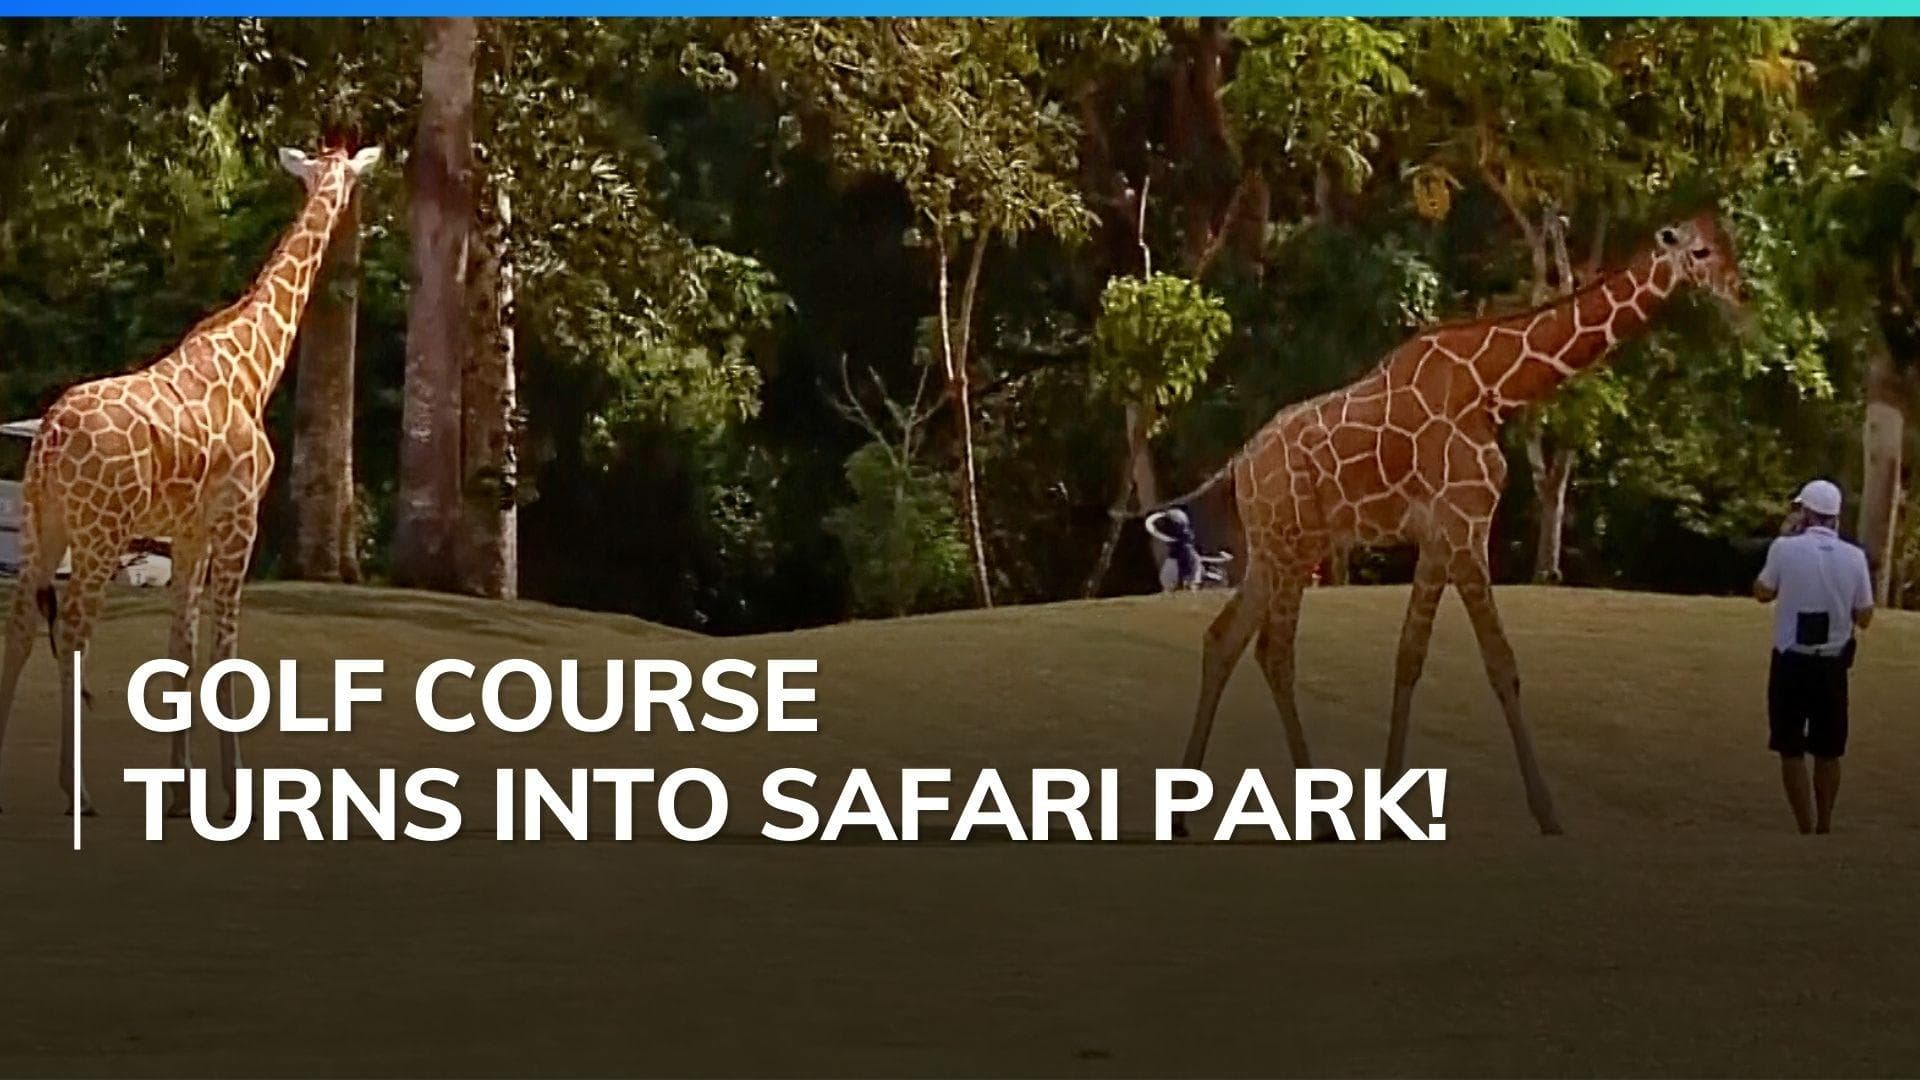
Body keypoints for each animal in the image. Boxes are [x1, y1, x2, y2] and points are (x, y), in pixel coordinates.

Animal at [0, 143, 381, 817]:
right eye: (345, 175)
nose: (355, 206)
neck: (256, 365)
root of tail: (46, 441)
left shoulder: (189, 533)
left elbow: (181, 643)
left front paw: (180, 793)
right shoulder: (239, 520)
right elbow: (225, 645)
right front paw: (236, 794)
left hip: (44, 524)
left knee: (19, 626)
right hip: (99, 532)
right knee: (72, 632)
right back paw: (79, 794)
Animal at [1166, 212, 1746, 836]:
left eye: (1730, 242)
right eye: (1701, 251)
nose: (1740, 294)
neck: (1496, 388)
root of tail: (1240, 464)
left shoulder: (1441, 535)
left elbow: (1409, 657)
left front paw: (1391, 808)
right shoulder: (1468, 524)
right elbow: (1501, 664)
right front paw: (1548, 813)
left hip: (1277, 548)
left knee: (1223, 640)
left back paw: (1189, 815)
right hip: (1291, 544)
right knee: (1273, 652)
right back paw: (1313, 814)